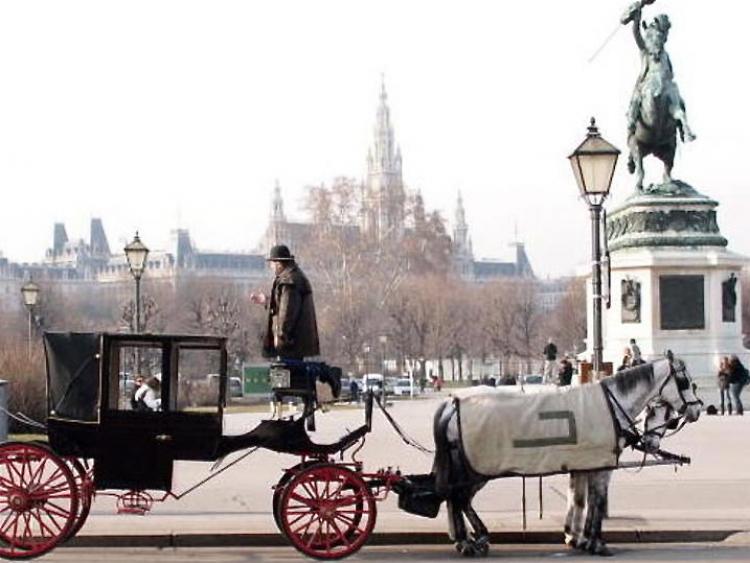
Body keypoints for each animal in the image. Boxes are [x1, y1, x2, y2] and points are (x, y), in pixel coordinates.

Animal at [434, 360, 704, 556]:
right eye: (685, 381)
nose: (697, 409)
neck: (611, 405)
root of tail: (452, 402)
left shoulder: (584, 464)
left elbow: (580, 499)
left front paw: (576, 537)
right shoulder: (601, 467)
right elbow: (596, 501)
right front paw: (595, 542)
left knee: (458, 499)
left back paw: (470, 538)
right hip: (475, 468)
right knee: (458, 498)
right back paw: (468, 541)